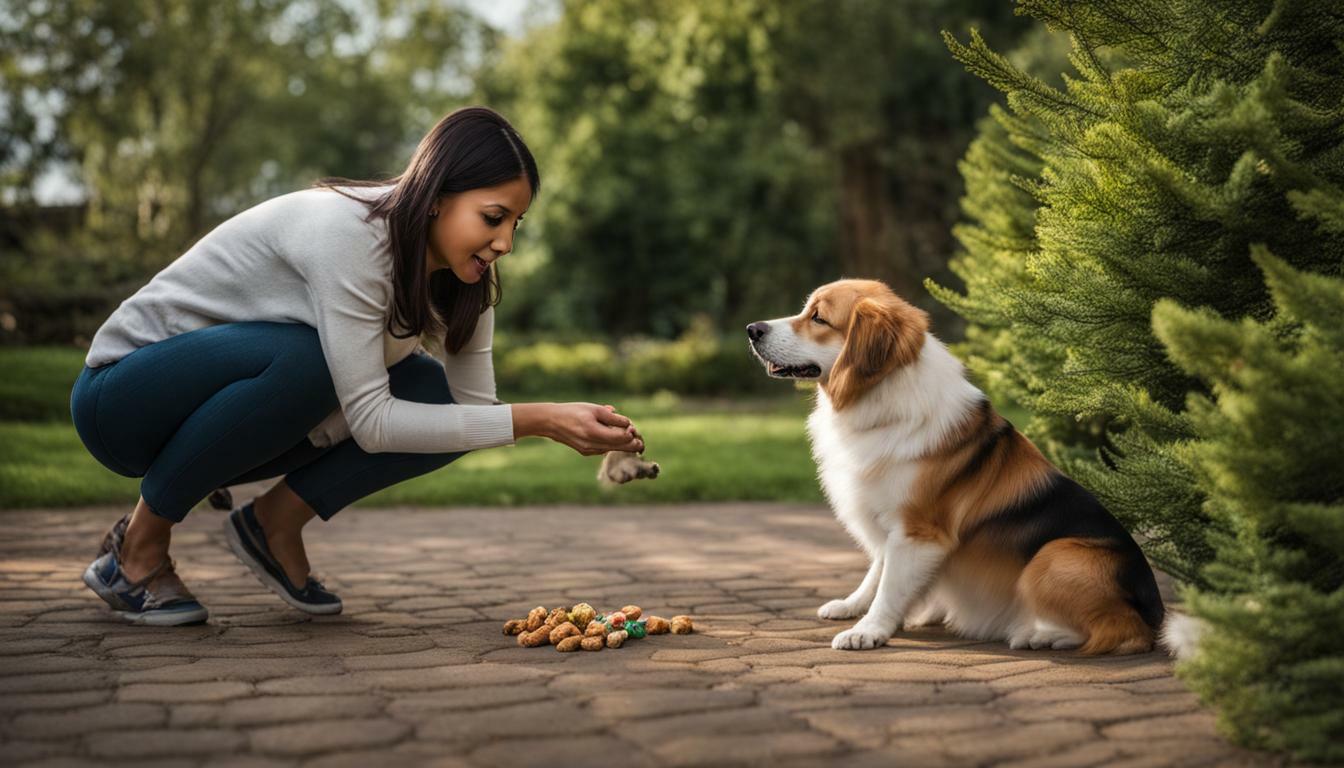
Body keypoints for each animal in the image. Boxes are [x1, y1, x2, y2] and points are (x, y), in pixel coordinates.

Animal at [747, 281, 1166, 656]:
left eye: (818, 318)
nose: (753, 329)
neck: (884, 396)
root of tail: (1157, 613)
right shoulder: (887, 522)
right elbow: (877, 572)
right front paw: (853, 606)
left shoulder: (917, 532)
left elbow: (890, 586)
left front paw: (870, 630)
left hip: (1052, 557)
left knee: (1123, 631)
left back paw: (1041, 635)